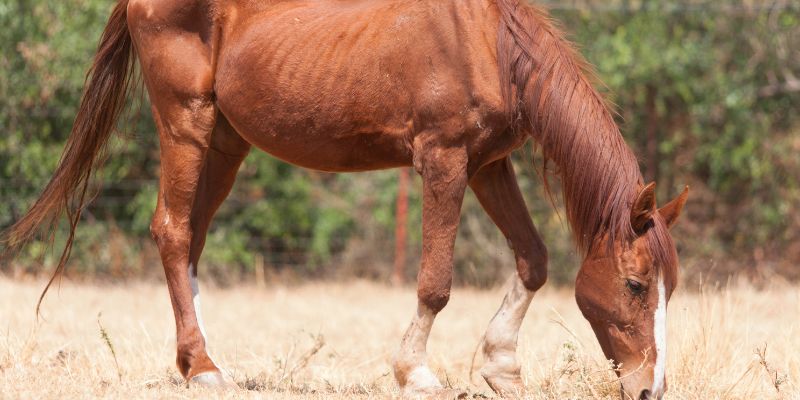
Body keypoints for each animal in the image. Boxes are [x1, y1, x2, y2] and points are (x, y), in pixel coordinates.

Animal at [3, 0, 688, 400]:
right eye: (635, 285)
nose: (650, 389)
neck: (488, 43)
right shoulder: (443, 159)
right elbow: (435, 282)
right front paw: (415, 373)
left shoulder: (490, 164)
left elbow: (534, 259)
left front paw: (502, 367)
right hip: (185, 122)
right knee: (171, 231)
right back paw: (202, 367)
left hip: (226, 142)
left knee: (191, 239)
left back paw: (198, 360)